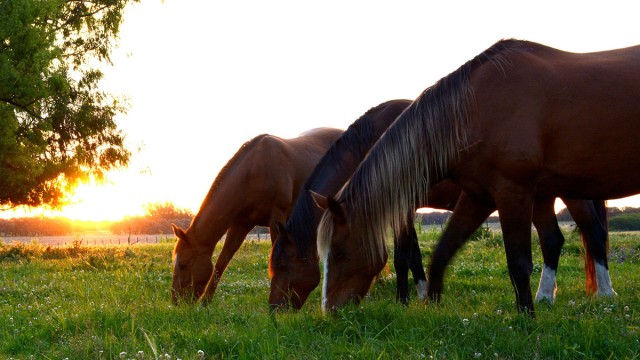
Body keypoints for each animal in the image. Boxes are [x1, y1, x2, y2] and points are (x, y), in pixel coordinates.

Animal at [168, 126, 342, 304]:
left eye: (183, 264)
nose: (176, 301)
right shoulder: (240, 224)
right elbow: (222, 261)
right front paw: (205, 302)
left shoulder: (277, 219)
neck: (253, 173)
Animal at [268, 100, 608, 310]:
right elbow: (414, 255)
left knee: (593, 233)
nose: (274, 310)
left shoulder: (401, 206)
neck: (374, 142)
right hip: (540, 197)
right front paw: (422, 294)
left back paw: (605, 294)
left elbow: (404, 256)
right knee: (553, 239)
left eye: (283, 265)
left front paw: (404, 300)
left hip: (567, 195)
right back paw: (546, 297)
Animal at [316, 39, 640, 316]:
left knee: (593, 234)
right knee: (554, 240)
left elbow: (518, 262)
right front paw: (430, 306)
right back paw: (547, 297)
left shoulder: (511, 192)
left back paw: (604, 295)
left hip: (570, 195)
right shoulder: (478, 196)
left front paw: (526, 320)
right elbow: (441, 252)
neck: (476, 109)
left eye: (340, 252)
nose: (329, 310)